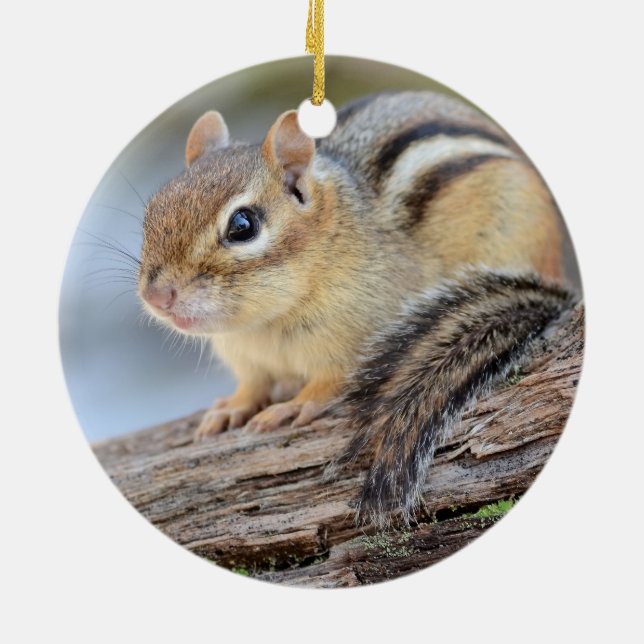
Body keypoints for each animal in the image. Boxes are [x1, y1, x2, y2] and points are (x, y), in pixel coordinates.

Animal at [138, 90, 576, 525]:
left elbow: (328, 384)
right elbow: (253, 386)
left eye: (242, 225)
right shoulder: (246, 358)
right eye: (153, 210)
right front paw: (231, 408)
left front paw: (293, 407)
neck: (264, 325)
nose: (157, 296)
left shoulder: (358, 338)